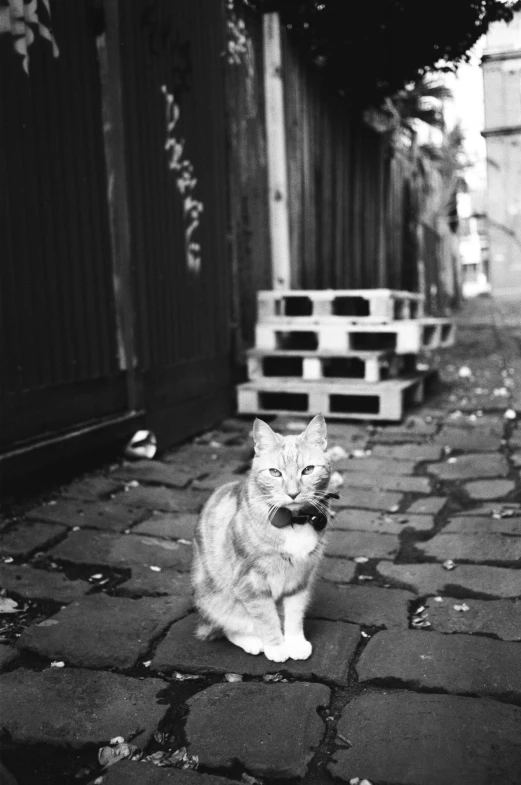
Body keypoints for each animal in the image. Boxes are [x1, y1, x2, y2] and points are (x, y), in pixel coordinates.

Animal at [192, 414, 334, 660]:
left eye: (308, 470)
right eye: (275, 472)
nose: (293, 493)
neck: (293, 522)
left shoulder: (299, 579)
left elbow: (294, 614)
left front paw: (294, 643)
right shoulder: (251, 583)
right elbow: (266, 617)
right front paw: (276, 647)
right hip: (216, 600)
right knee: (228, 626)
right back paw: (253, 642)